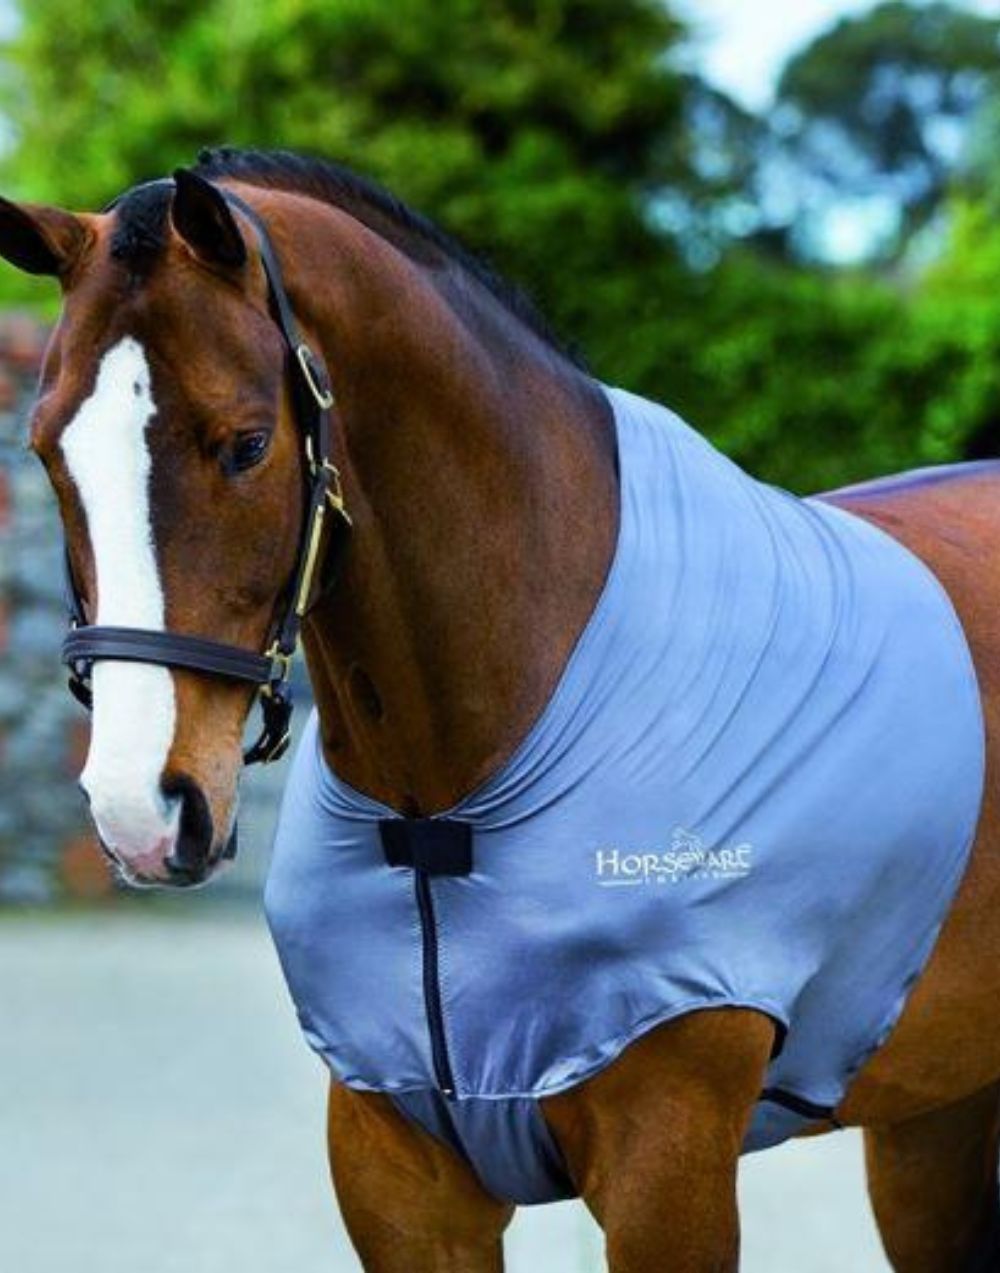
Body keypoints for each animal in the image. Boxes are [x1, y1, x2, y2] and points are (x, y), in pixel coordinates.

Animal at [5, 147, 1000, 1273]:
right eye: (47, 450)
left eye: (247, 444)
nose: (141, 807)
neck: (445, 811)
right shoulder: (400, 1174)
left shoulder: (668, 1169)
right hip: (932, 1114)